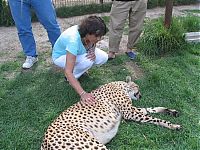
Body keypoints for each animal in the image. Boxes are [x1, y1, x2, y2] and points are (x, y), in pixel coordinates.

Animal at [41, 77, 181, 149]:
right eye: (138, 87)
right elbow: (154, 118)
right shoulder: (130, 112)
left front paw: (171, 111)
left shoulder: (131, 110)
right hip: (93, 145)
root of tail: (44, 142)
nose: (141, 95)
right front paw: (173, 125)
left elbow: (151, 109)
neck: (122, 86)